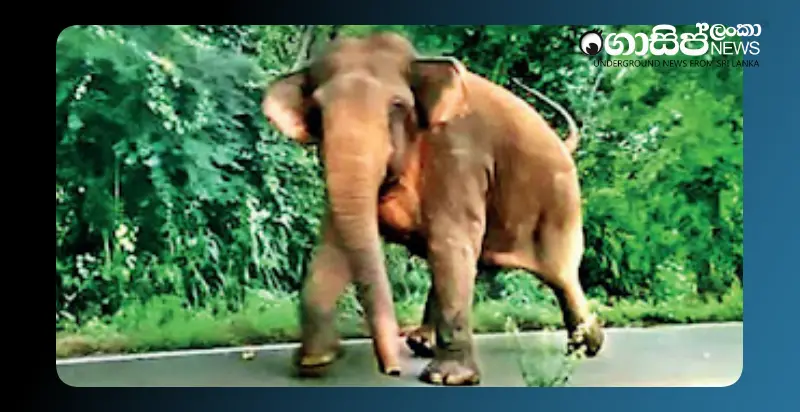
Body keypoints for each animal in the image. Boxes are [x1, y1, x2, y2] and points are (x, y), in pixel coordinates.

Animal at [261, 31, 605, 386]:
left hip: (560, 202)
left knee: (560, 272)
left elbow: (450, 241)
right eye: (316, 112)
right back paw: (420, 342)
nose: (393, 370)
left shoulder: (460, 157)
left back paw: (587, 345)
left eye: (397, 106)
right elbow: (333, 247)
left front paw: (449, 378)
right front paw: (314, 361)